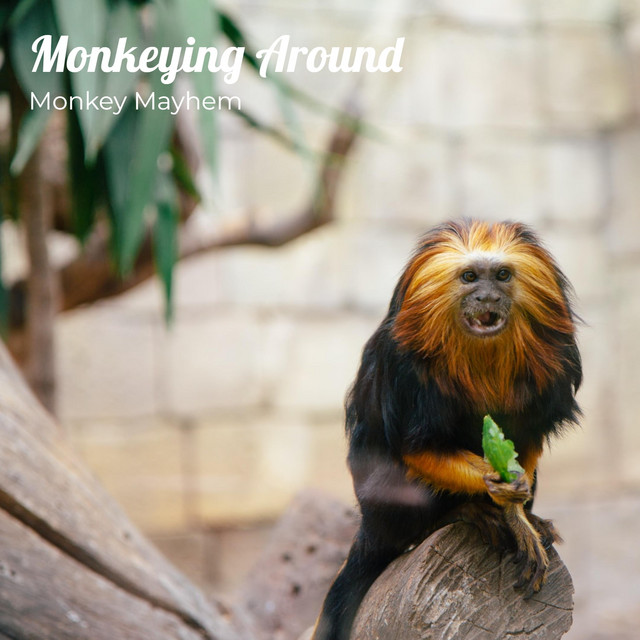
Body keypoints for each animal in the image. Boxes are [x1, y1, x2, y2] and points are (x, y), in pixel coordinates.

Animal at [311, 219, 582, 640]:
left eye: (502, 276)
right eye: (469, 277)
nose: (487, 298)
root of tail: (371, 527)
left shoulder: (552, 365)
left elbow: (525, 439)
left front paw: (520, 511)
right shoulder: (404, 367)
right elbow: (416, 449)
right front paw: (501, 492)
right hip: (383, 509)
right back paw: (456, 516)